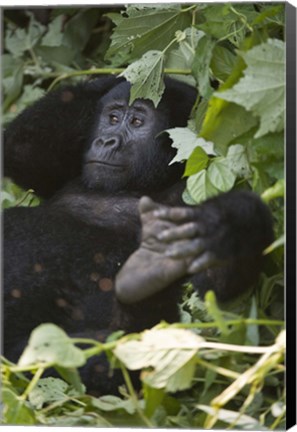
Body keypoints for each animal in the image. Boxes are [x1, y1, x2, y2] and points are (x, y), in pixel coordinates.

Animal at [2, 75, 272, 394]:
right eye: (112, 118)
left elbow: (212, 289)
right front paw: (109, 80)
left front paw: (229, 227)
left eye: (137, 122)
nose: (106, 141)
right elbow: (23, 150)